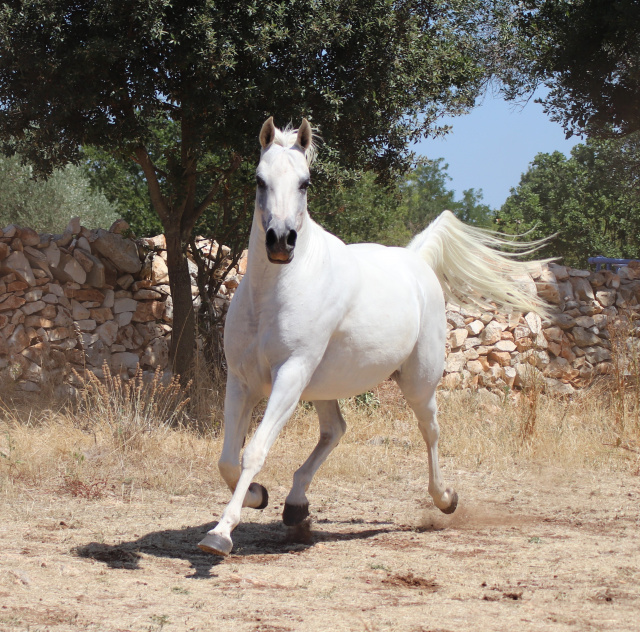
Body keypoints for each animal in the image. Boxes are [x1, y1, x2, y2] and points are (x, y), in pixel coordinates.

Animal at [198, 116, 548, 556]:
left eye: (305, 183)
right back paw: (297, 509)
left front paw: (221, 532)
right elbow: (228, 459)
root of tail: (415, 259)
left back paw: (445, 499)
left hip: (416, 383)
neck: (274, 292)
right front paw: (258, 496)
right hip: (323, 385)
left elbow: (254, 451)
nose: (280, 241)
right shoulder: (242, 380)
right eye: (260, 180)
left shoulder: (289, 374)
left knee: (430, 431)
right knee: (335, 431)